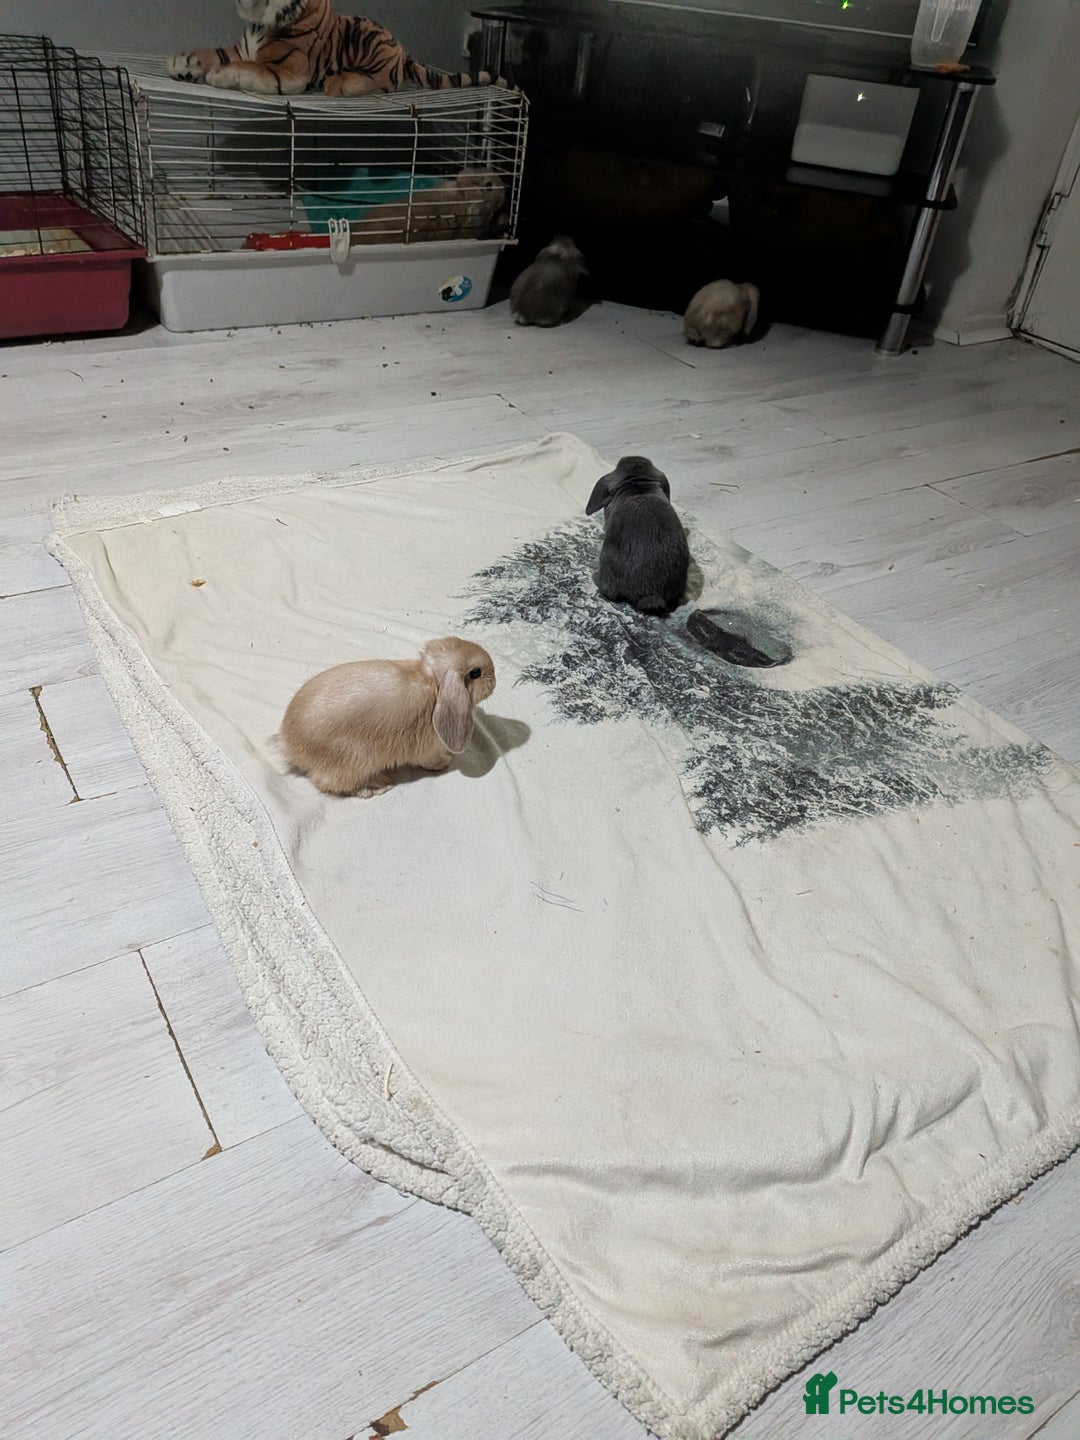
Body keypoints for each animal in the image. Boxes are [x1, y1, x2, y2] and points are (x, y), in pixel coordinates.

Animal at [281, 636, 496, 796]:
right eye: (476, 673)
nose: (494, 680)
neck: (433, 682)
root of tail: (291, 747)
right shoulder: (428, 749)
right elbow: (430, 760)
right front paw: (445, 762)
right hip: (355, 759)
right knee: (326, 782)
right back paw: (376, 786)